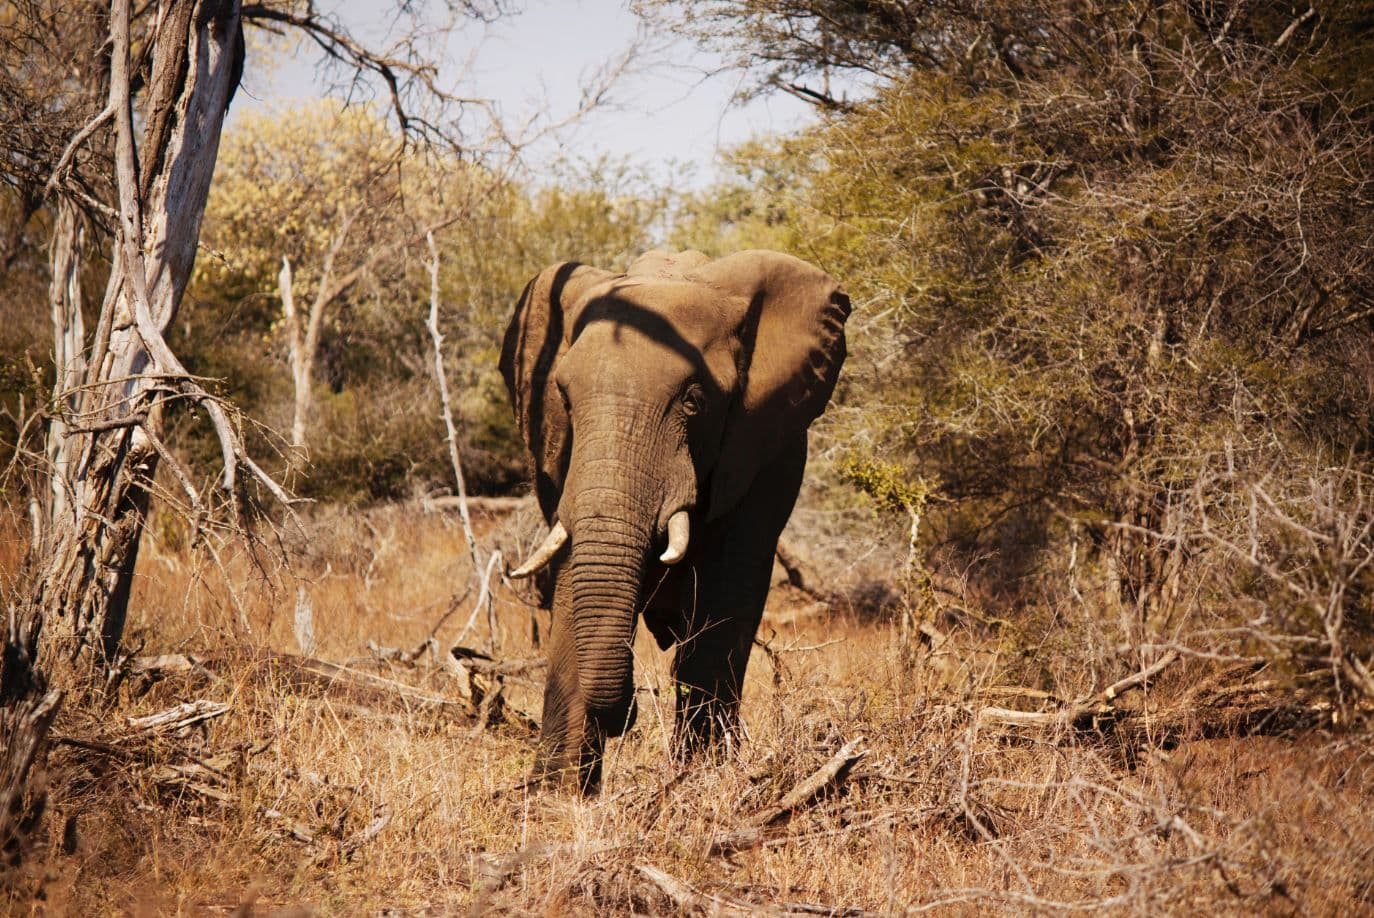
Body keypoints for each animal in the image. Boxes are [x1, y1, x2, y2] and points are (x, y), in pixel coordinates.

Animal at [500, 247, 851, 791]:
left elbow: (726, 590)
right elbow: (573, 576)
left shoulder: (760, 457)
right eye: (564, 399)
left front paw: (702, 778)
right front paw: (556, 794)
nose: (628, 714)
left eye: (693, 401)